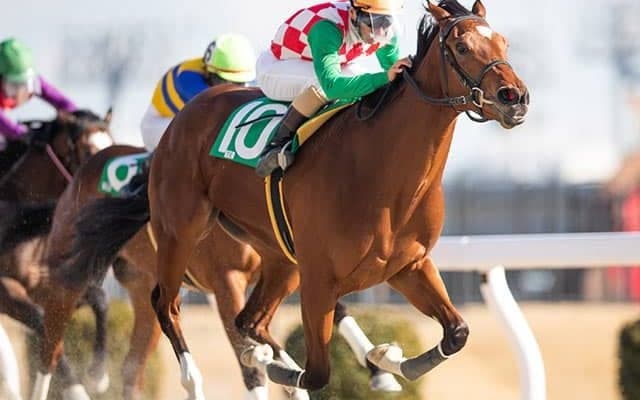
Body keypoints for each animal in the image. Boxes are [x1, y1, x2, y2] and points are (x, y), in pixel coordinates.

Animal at [0, 109, 114, 399]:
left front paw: (98, 376)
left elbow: (100, 300)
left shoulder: (55, 285)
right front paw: (76, 390)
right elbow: (43, 325)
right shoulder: (5, 290)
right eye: (88, 152)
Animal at [31, 144, 402, 400]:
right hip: (68, 276)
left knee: (132, 369)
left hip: (140, 286)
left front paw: (378, 367)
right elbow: (250, 364)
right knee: (49, 352)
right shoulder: (227, 282)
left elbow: (332, 312)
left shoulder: (292, 266)